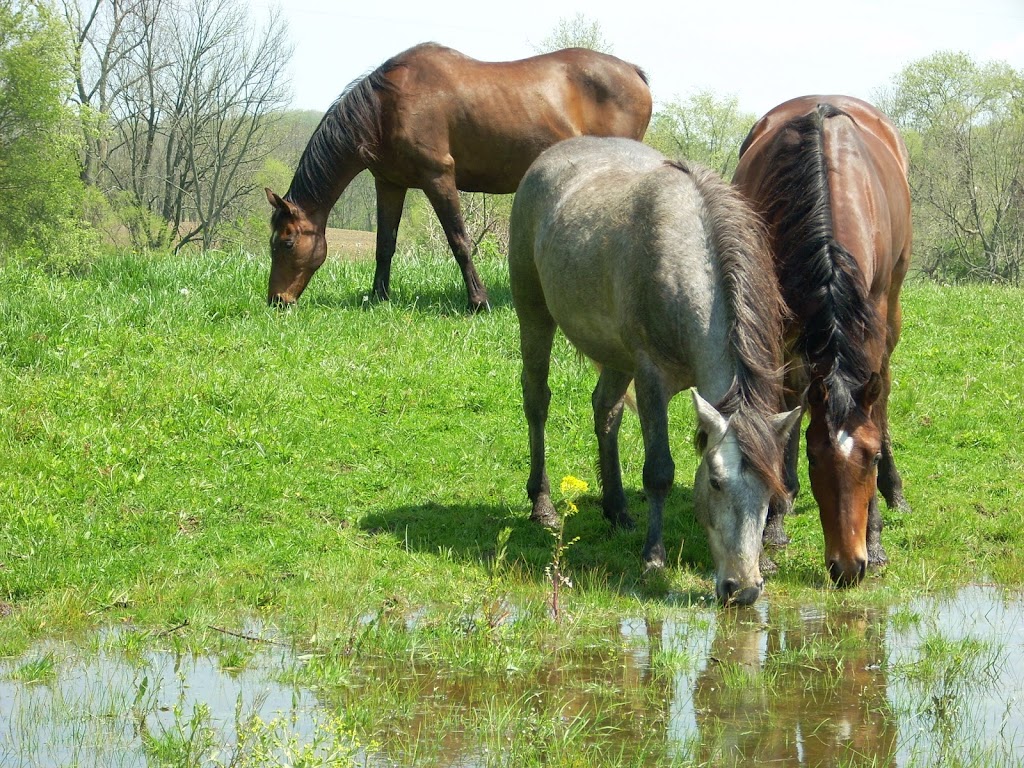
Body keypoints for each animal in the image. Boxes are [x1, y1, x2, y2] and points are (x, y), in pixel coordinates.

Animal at [262, 41, 647, 311]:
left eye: (287, 242)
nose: (277, 300)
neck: (387, 107)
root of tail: (633, 72)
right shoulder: (389, 183)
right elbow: (385, 243)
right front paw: (378, 297)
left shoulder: (438, 178)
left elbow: (459, 241)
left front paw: (478, 302)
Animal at [509, 138, 798, 606]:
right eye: (715, 482)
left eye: (771, 492)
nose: (742, 589)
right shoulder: (650, 378)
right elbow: (659, 471)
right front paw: (653, 557)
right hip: (533, 313)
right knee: (537, 401)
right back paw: (543, 505)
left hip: (614, 355)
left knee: (605, 410)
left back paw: (616, 509)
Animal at [737, 97, 913, 589]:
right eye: (815, 459)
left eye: (870, 458)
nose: (847, 567)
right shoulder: (779, 320)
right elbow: (784, 403)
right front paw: (772, 524)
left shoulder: (872, 317)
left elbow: (877, 403)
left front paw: (875, 538)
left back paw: (896, 493)